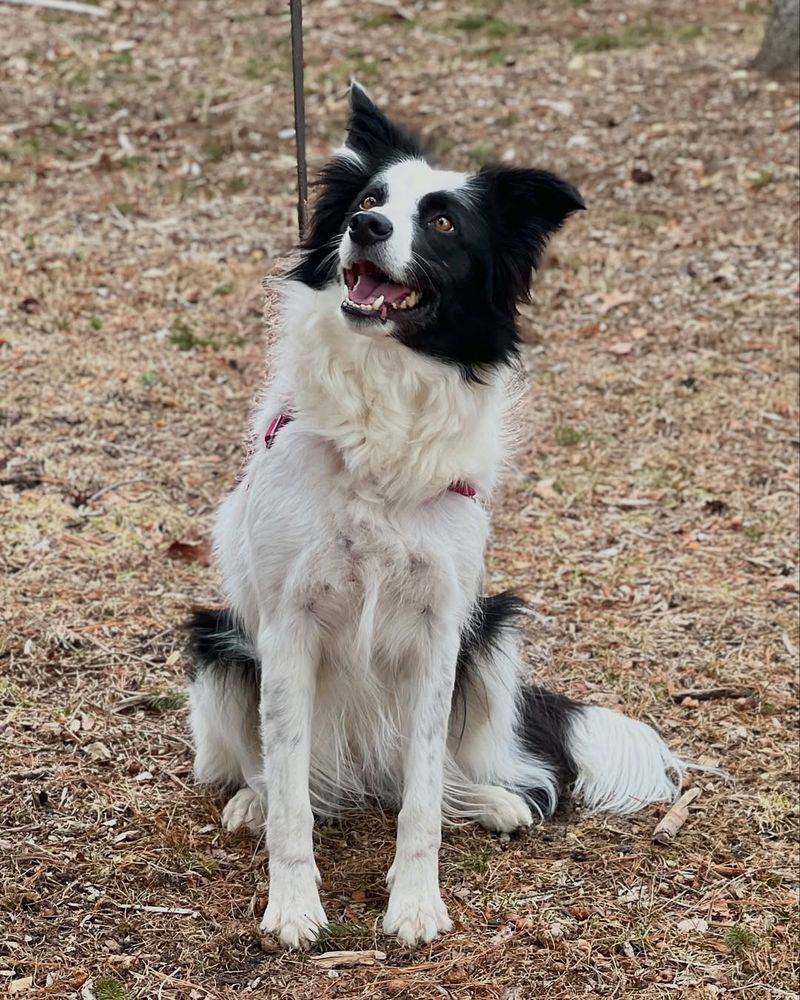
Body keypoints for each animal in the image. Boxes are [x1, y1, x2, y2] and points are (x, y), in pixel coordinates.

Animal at [186, 84, 680, 944]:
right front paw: (294, 904)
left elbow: (420, 798)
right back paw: (252, 799)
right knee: (270, 772)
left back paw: (491, 800)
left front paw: (416, 904)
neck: (383, 404)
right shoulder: (285, 629)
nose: (367, 230)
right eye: (368, 202)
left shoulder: (440, 629)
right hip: (218, 646)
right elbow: (291, 800)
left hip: (493, 637)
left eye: (444, 223)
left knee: (436, 775)